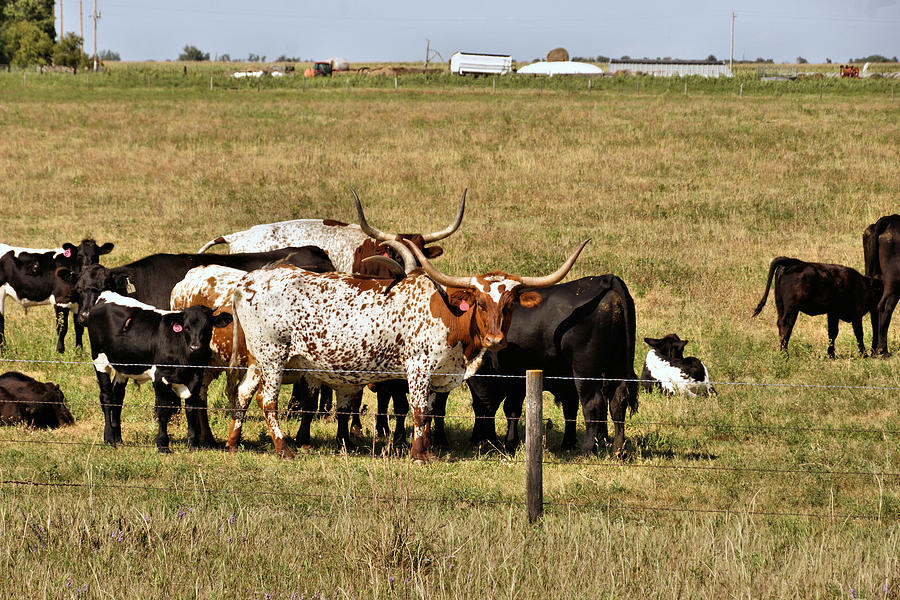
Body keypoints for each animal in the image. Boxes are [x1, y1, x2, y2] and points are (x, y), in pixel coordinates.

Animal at [87, 292, 232, 452]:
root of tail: (105, 296)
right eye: (186, 327)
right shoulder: (160, 376)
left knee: (117, 397)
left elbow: (191, 410)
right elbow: (163, 410)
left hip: (123, 366)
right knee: (106, 397)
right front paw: (162, 444)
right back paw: (109, 439)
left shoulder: (196, 377)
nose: (195, 347)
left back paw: (118, 438)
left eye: (207, 327)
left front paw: (193, 444)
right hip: (99, 359)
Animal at [464, 274, 640, 458]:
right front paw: (567, 443)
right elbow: (569, 408)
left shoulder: (509, 377)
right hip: (617, 365)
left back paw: (587, 450)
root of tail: (605, 279)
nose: (475, 440)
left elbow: (502, 408)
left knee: (594, 404)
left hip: (585, 370)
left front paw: (505, 443)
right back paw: (618, 450)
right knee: (618, 400)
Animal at [860, 216, 896, 356]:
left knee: (874, 309)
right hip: (893, 284)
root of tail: (890, 219)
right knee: (885, 307)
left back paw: (875, 350)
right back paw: (882, 351)